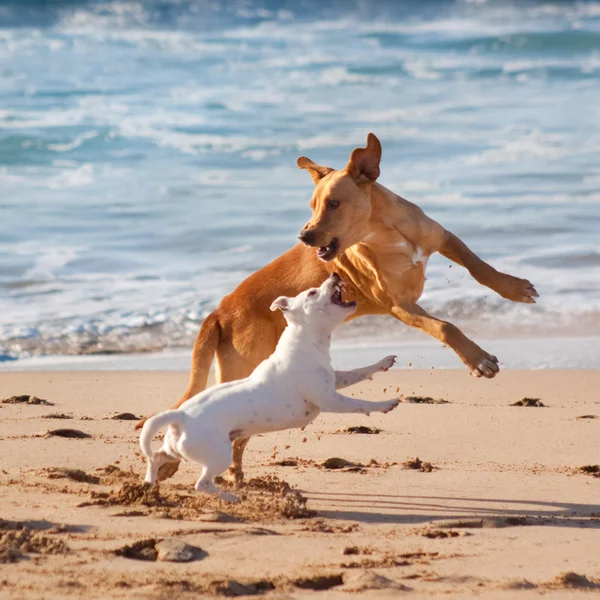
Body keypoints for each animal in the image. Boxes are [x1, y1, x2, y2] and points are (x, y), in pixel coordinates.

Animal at [139, 274, 398, 502]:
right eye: (312, 292)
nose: (335, 273)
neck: (305, 340)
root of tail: (180, 415)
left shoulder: (335, 381)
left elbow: (359, 372)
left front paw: (383, 363)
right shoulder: (329, 399)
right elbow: (359, 404)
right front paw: (386, 404)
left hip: (176, 448)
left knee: (157, 457)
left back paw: (149, 483)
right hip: (218, 454)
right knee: (201, 483)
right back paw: (231, 497)